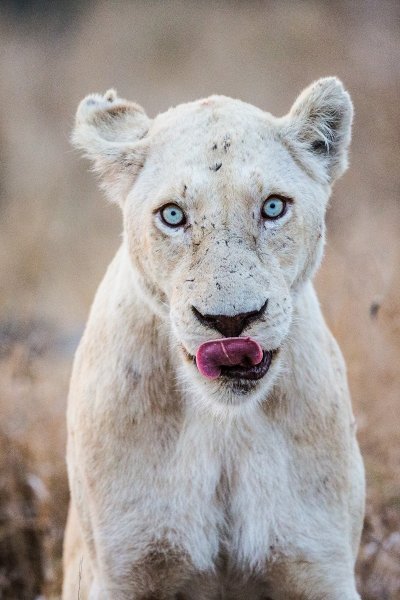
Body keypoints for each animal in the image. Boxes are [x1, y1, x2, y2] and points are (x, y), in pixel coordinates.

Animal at [62, 79, 366, 600]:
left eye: (272, 207)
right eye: (172, 215)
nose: (231, 322)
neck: (224, 426)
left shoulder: (320, 565)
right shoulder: (122, 569)